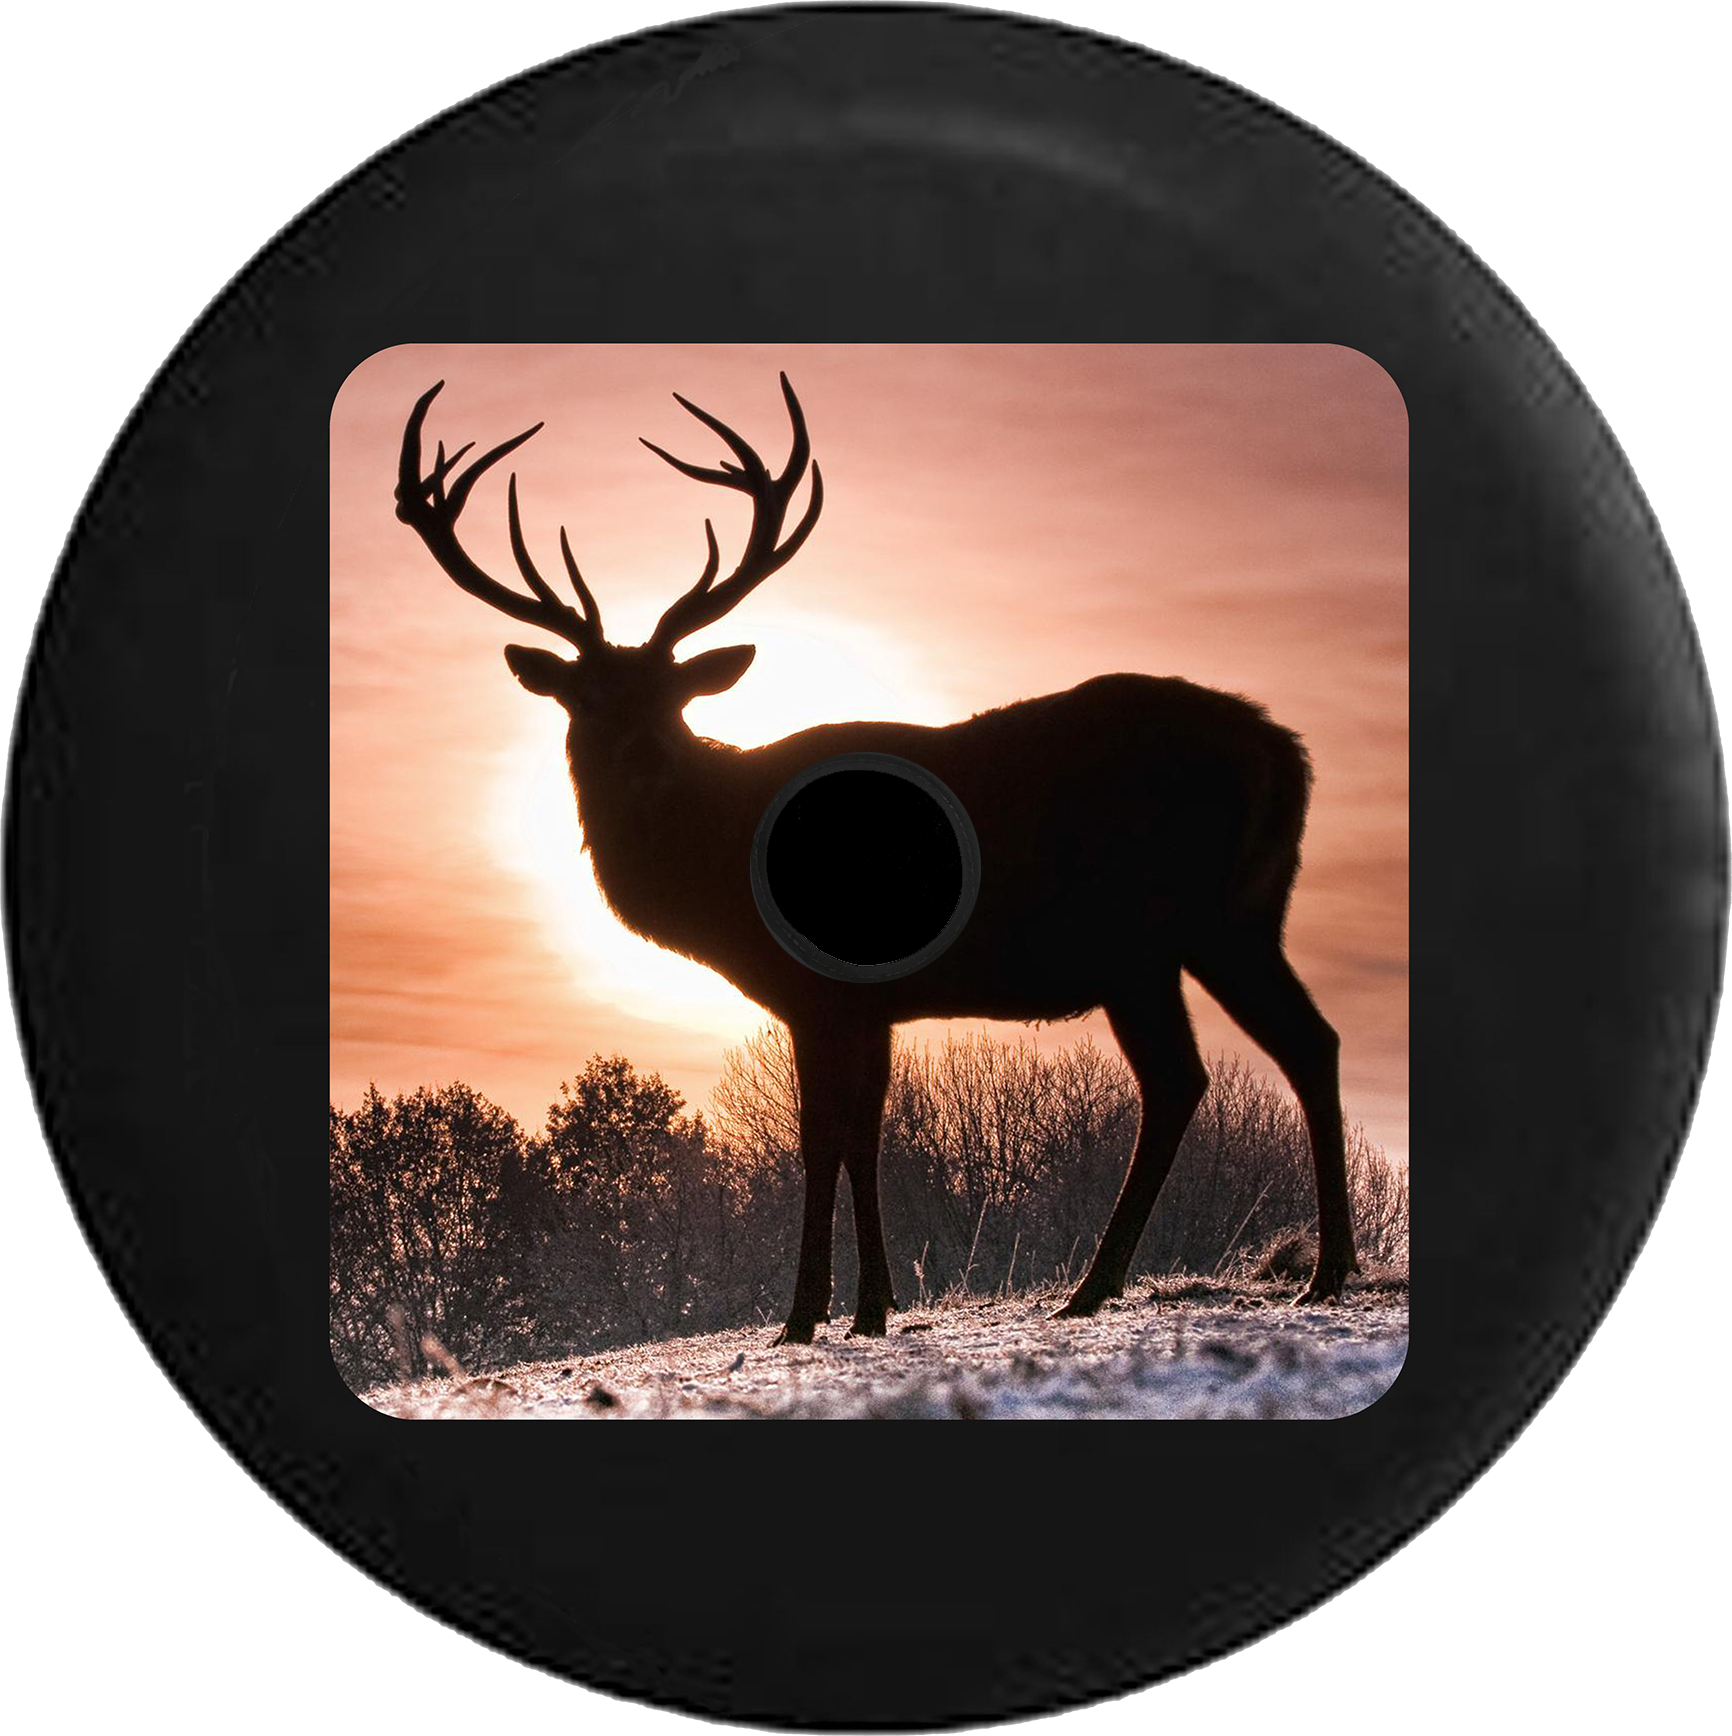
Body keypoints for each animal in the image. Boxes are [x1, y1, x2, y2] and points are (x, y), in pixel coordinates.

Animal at [394, 374, 1359, 1344]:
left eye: (674, 696)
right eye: (586, 697)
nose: (646, 759)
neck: (720, 863)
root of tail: (1287, 752)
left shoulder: (817, 988)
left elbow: (822, 1135)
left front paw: (805, 1314)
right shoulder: (873, 1003)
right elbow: (866, 1132)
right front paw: (875, 1307)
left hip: (1148, 933)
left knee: (1185, 1075)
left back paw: (1111, 1285)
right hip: (1236, 918)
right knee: (1301, 1042)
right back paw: (1320, 1272)